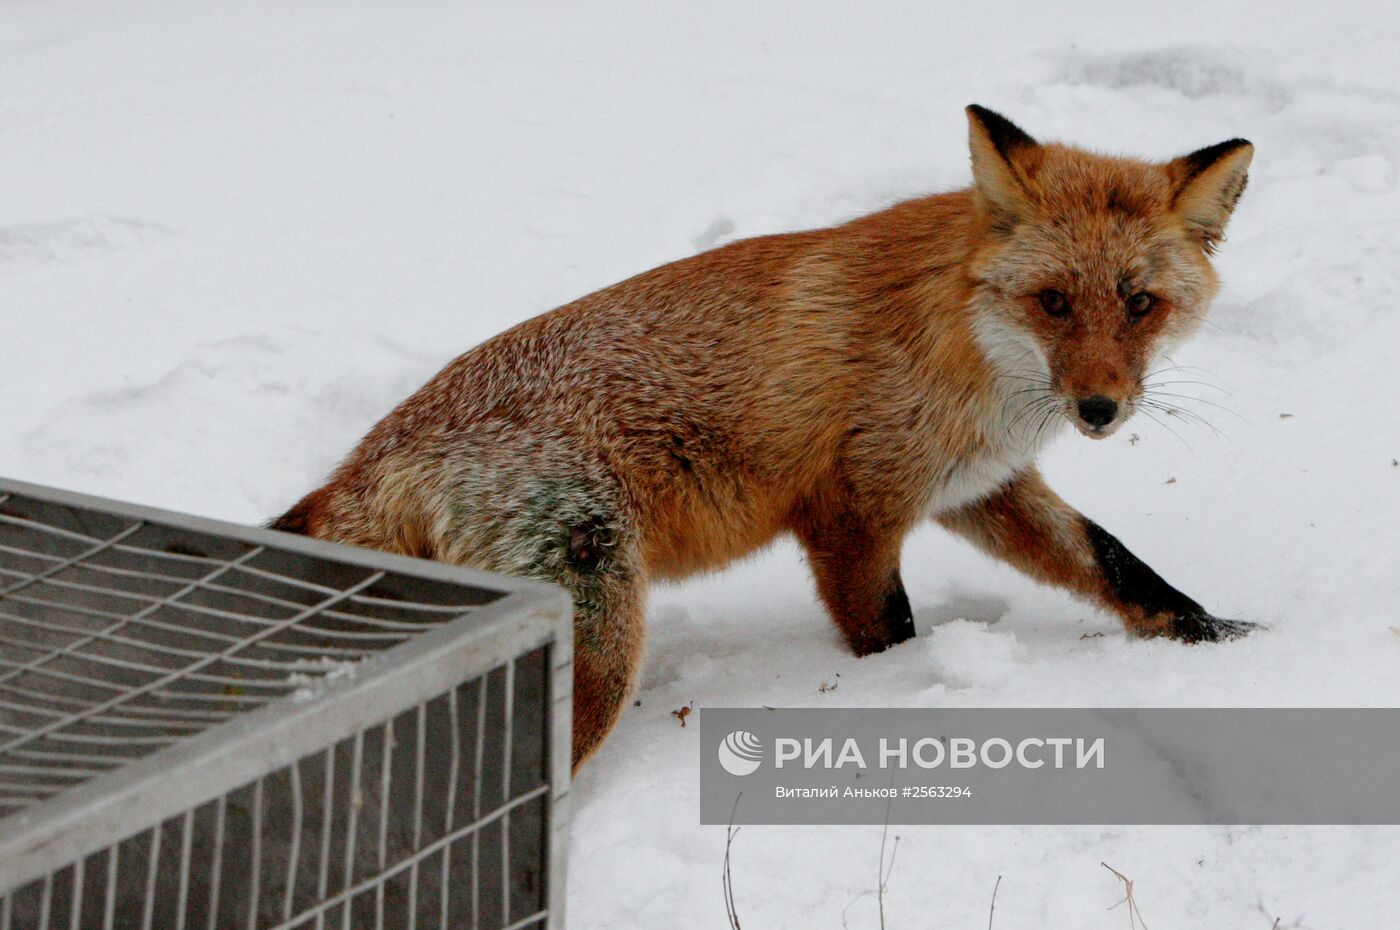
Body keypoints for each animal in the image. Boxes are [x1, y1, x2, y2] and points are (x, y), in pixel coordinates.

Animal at [273, 105, 1260, 767]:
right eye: (1052, 301)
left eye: (1141, 305)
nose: (1099, 409)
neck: (965, 352)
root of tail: (363, 463)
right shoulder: (850, 514)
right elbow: (891, 633)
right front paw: (890, 700)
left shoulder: (978, 486)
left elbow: (1118, 566)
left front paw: (1221, 639)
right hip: (598, 637)